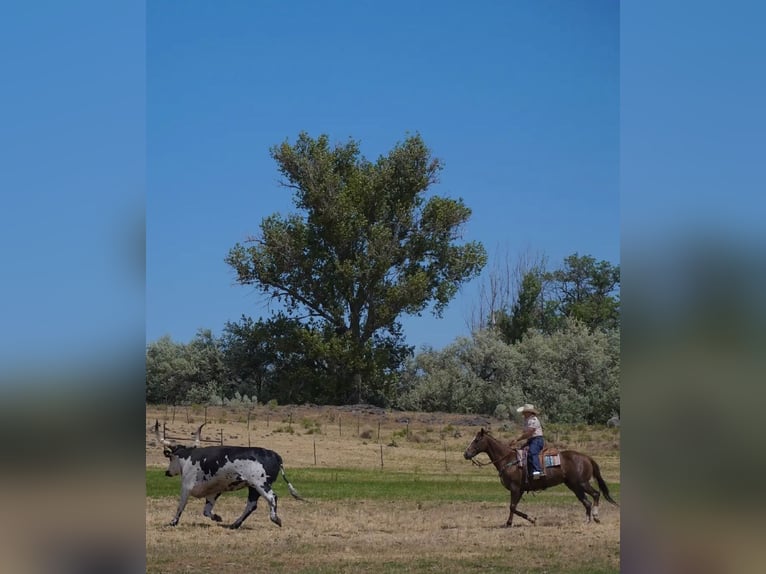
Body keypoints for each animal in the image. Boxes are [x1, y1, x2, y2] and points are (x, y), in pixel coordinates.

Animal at [463, 428, 618, 527]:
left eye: (476, 440)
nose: (466, 454)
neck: (508, 459)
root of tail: (586, 457)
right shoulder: (519, 490)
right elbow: (513, 507)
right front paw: (509, 523)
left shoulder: (515, 488)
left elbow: (512, 506)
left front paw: (531, 519)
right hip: (574, 486)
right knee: (586, 502)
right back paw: (587, 520)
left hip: (582, 483)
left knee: (595, 494)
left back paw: (595, 517)